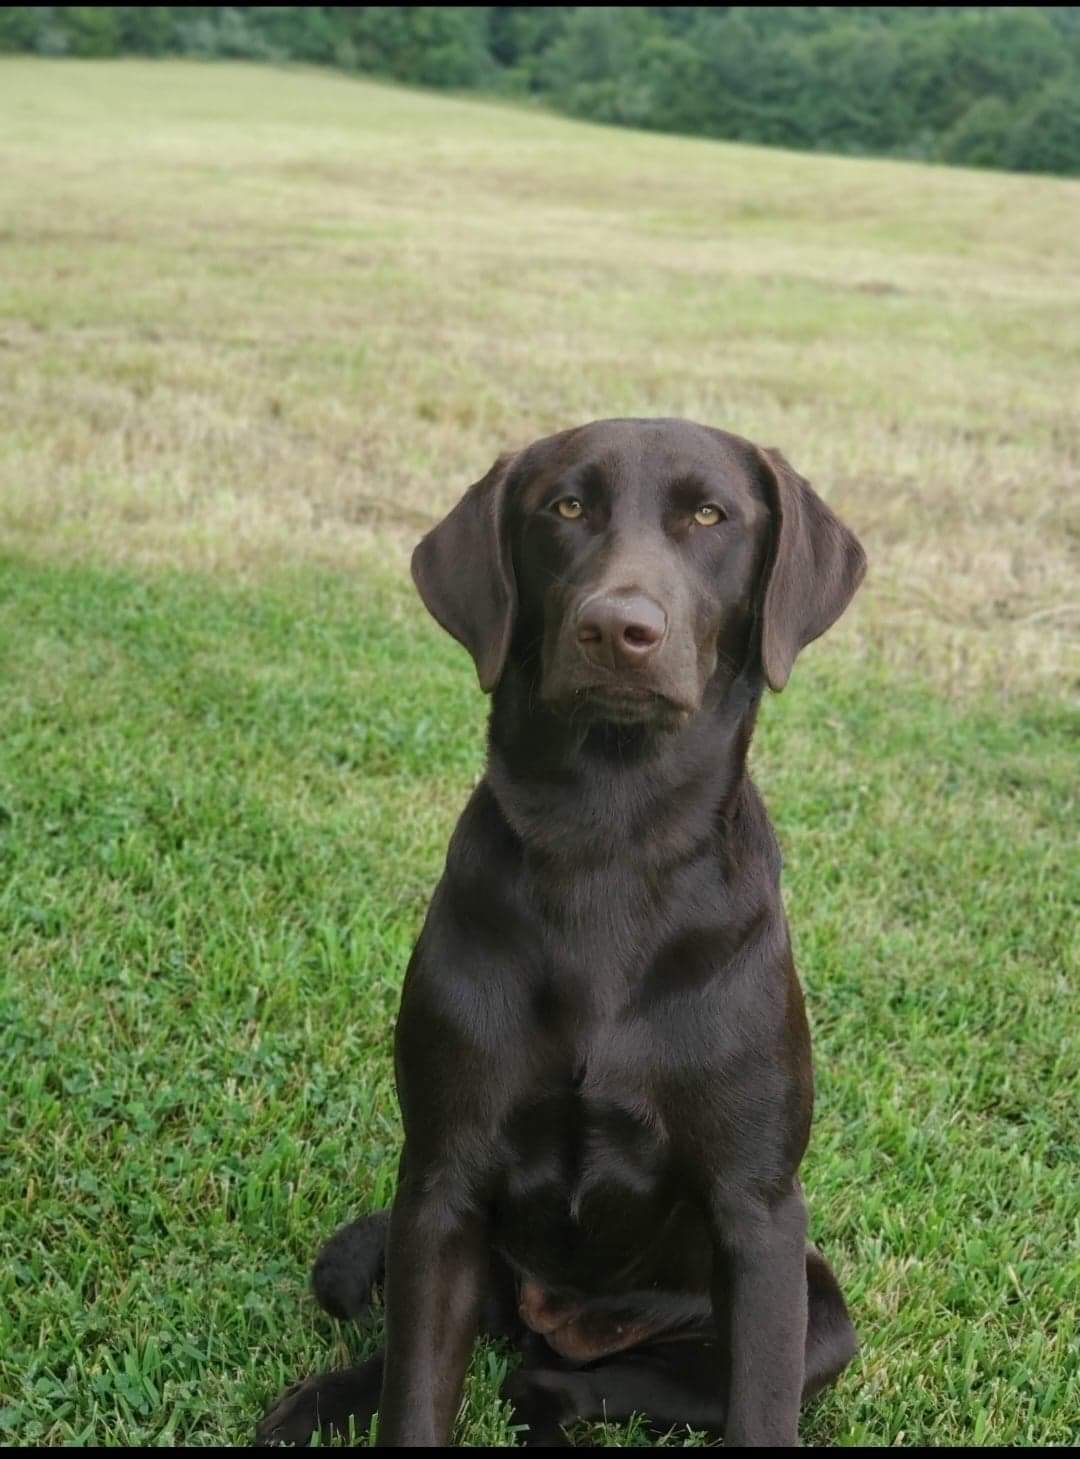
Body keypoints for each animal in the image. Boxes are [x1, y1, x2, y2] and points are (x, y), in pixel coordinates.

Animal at [255, 417, 869, 1441]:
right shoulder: (443, 1184)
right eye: (567, 507)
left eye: (711, 515)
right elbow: (415, 1394)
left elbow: (758, 1406)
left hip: (818, 1313)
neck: (607, 841)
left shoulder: (760, 1213)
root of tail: (559, 1319)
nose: (619, 628)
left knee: (559, 1383)